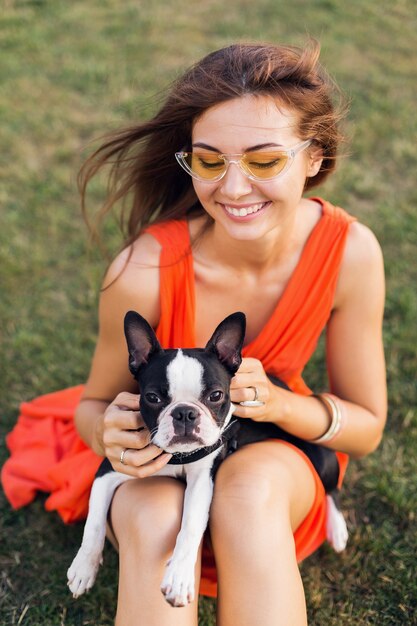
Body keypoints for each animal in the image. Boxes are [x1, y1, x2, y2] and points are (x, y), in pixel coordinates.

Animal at [67, 310, 348, 604]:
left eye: (216, 395)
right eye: (152, 397)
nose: (184, 413)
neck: (178, 457)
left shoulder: (202, 479)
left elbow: (190, 525)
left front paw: (178, 577)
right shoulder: (110, 466)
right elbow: (93, 521)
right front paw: (84, 567)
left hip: (321, 456)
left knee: (332, 488)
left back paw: (337, 529)